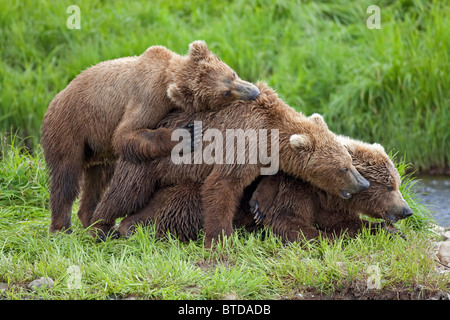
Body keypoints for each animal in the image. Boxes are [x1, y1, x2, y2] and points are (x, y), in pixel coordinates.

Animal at [42, 40, 260, 232]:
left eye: (232, 74)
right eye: (225, 93)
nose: (255, 92)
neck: (168, 74)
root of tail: (54, 101)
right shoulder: (149, 97)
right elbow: (125, 133)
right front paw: (188, 134)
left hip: (96, 146)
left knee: (98, 179)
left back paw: (92, 220)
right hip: (70, 128)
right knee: (66, 176)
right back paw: (62, 228)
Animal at [88, 83, 370, 248]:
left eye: (349, 160)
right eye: (343, 168)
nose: (363, 183)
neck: (270, 133)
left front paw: (258, 204)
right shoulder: (242, 142)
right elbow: (222, 185)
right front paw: (221, 239)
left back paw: (130, 226)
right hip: (146, 162)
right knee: (126, 194)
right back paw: (99, 228)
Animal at [116, 135, 412, 242]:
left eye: (397, 183)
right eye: (389, 186)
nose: (407, 210)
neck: (326, 192)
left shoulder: (331, 205)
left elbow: (345, 222)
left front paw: (389, 231)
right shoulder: (296, 191)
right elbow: (287, 219)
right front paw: (324, 237)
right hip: (185, 194)